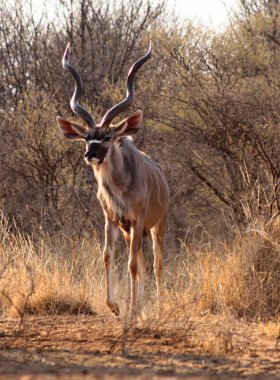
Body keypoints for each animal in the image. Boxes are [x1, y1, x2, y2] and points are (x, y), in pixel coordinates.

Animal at [56, 42, 170, 320]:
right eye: (87, 137)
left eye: (107, 136)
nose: (90, 154)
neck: (120, 187)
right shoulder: (113, 220)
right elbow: (108, 255)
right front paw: (116, 306)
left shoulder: (138, 220)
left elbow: (132, 264)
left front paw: (130, 311)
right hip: (130, 231)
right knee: (142, 261)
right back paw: (140, 307)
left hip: (158, 225)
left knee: (156, 264)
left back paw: (159, 307)